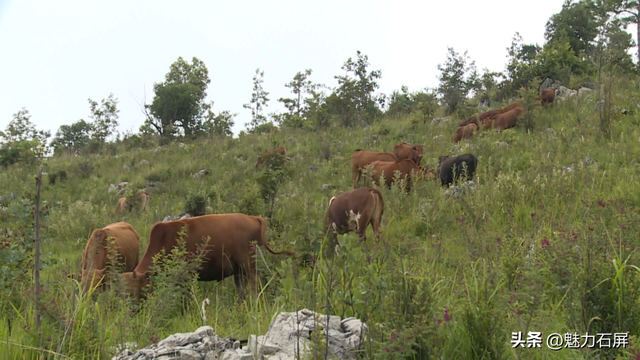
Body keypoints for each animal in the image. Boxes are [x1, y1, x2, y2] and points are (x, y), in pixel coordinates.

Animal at [120, 214, 296, 300]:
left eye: (134, 291)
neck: (165, 240)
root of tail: (252, 217)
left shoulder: (186, 276)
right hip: (239, 269)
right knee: (242, 288)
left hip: (248, 263)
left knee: (254, 282)